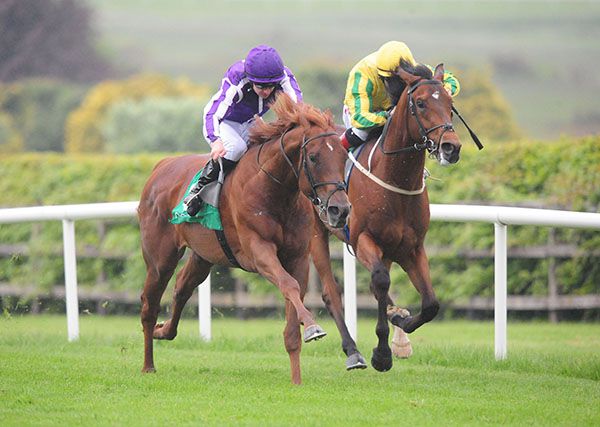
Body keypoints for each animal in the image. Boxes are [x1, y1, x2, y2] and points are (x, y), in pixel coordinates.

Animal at [138, 94, 350, 384]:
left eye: (343, 156)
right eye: (314, 157)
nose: (340, 209)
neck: (275, 191)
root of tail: (161, 166)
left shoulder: (297, 257)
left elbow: (293, 299)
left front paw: (297, 378)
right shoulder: (258, 251)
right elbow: (289, 285)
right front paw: (313, 326)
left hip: (203, 255)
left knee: (182, 287)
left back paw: (164, 330)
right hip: (160, 258)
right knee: (149, 305)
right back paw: (148, 364)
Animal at [310, 62, 464, 372]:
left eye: (450, 104)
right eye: (420, 103)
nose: (451, 147)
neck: (395, 180)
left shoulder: (412, 248)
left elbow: (431, 304)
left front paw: (401, 322)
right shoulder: (362, 240)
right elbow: (380, 281)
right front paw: (382, 353)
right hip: (316, 230)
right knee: (333, 293)